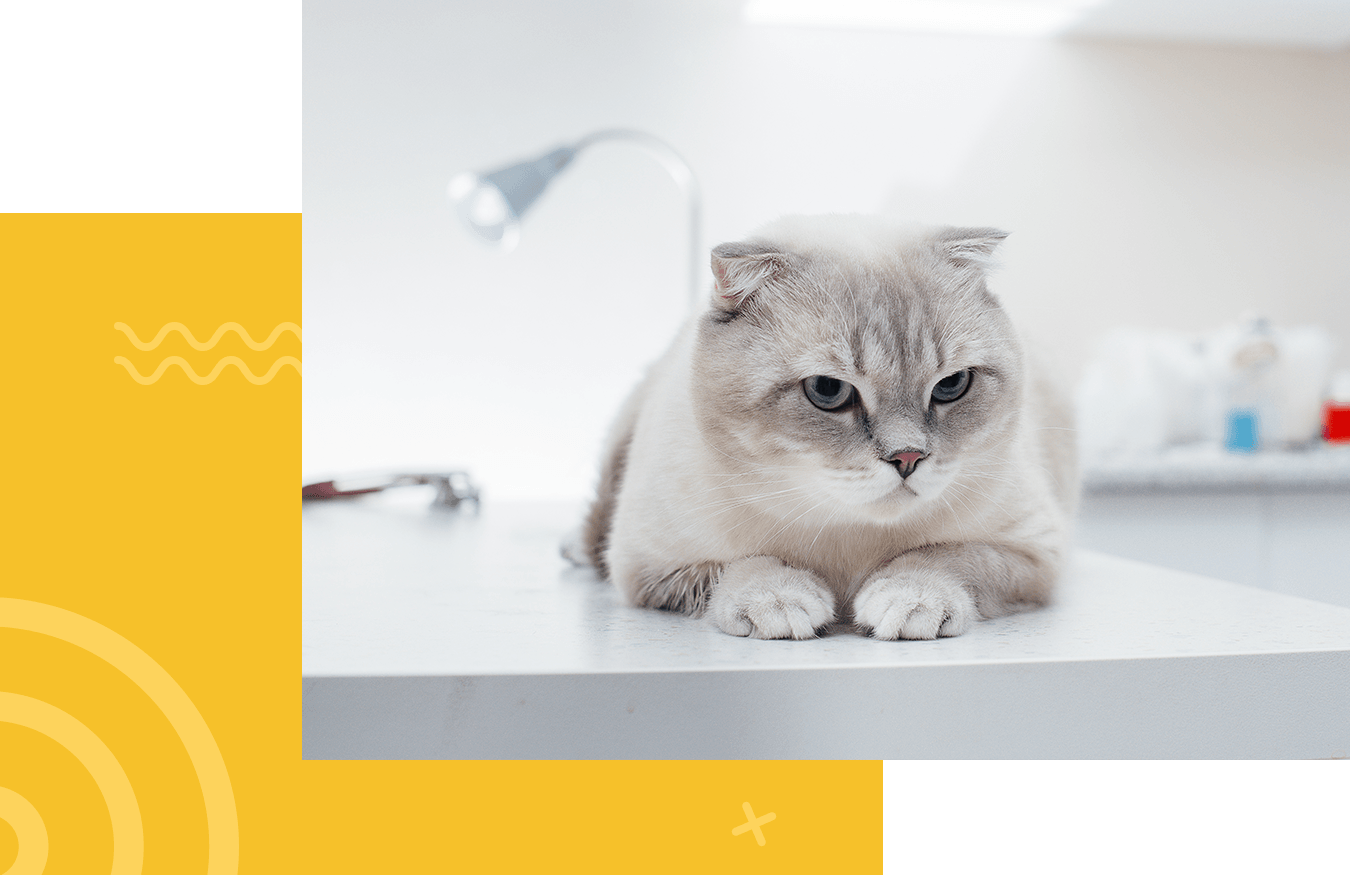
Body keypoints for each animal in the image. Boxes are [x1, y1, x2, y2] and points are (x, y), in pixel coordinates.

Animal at [577, 211, 1074, 634]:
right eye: (827, 391)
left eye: (951, 385)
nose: (908, 458)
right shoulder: (649, 567)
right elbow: (742, 564)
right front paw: (777, 598)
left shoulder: (1035, 553)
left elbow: (947, 557)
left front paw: (909, 595)